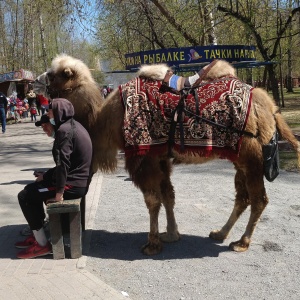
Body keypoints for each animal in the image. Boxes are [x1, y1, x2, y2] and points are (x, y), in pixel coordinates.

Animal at [34, 54, 298, 255]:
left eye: (53, 74)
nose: (35, 81)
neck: (106, 120)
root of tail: (269, 106)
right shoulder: (160, 158)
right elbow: (168, 196)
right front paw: (171, 234)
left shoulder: (143, 157)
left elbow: (153, 200)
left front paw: (152, 244)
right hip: (239, 158)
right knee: (243, 197)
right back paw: (220, 233)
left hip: (252, 157)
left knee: (259, 199)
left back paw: (242, 242)